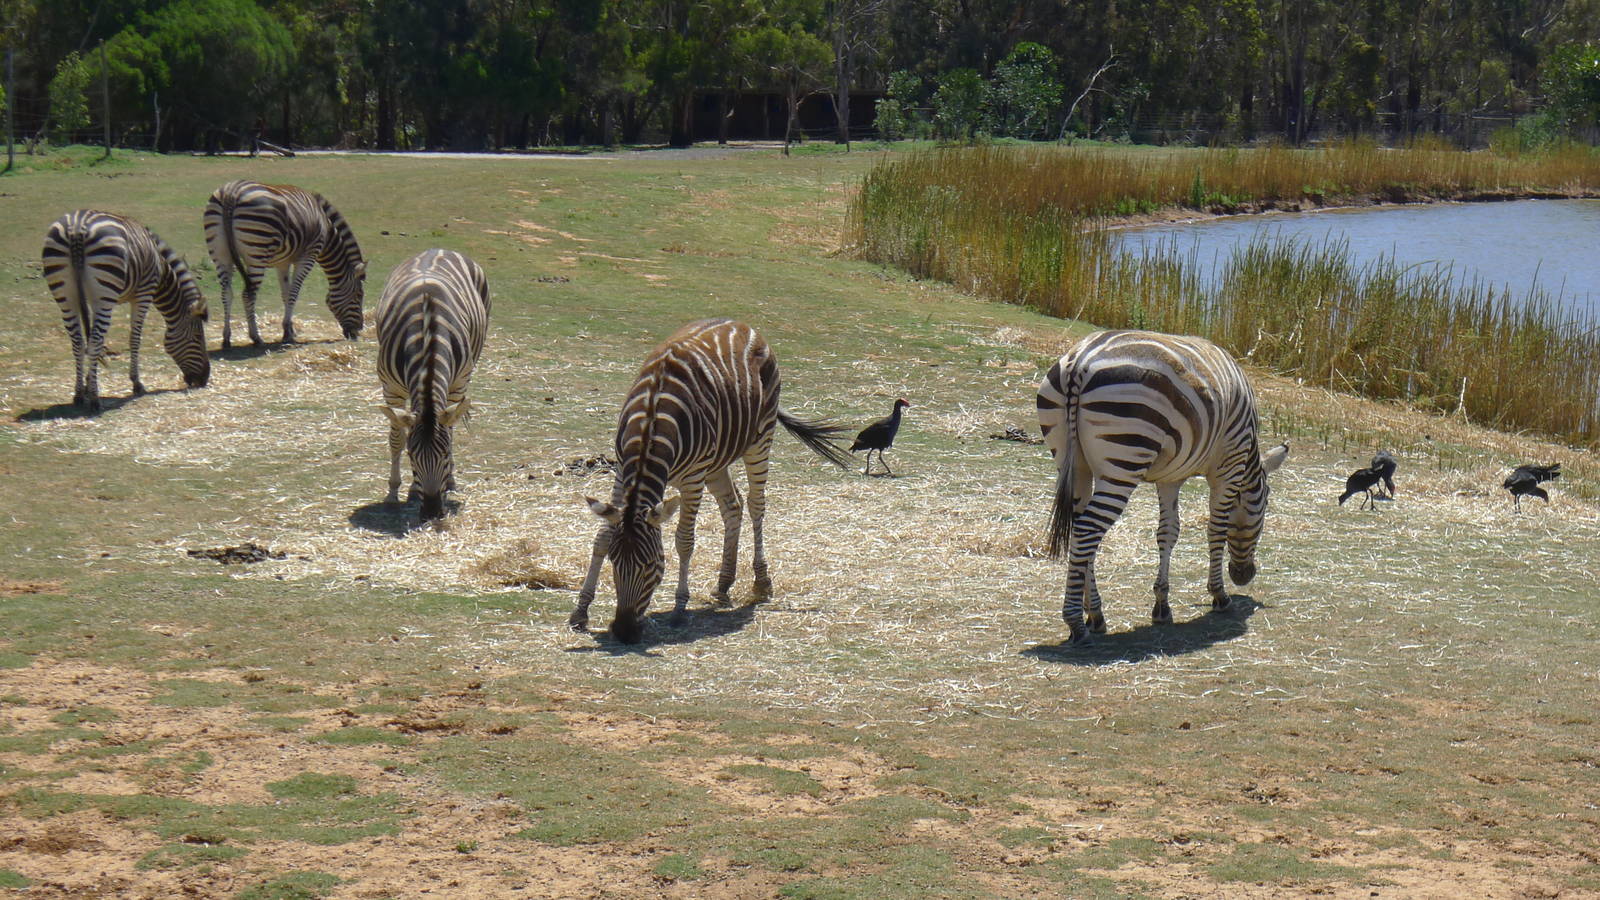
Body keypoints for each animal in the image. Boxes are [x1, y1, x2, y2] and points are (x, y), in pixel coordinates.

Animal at [41, 209, 211, 411]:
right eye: (197, 337)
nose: (205, 378)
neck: (160, 268)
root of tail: (77, 227)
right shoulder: (143, 294)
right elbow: (134, 339)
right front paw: (136, 383)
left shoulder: (92, 300)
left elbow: (92, 340)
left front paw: (89, 381)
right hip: (105, 291)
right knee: (95, 342)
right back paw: (95, 400)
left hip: (66, 295)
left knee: (78, 342)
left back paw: (79, 394)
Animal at [202, 180, 366, 348]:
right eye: (359, 295)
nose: (357, 331)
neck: (326, 230)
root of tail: (231, 192)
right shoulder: (308, 256)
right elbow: (294, 292)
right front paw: (287, 333)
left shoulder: (283, 262)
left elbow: (285, 294)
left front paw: (290, 329)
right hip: (257, 252)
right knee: (248, 294)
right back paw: (256, 337)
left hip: (220, 253)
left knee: (226, 293)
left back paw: (226, 338)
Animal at [374, 249, 491, 523]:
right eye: (411, 455)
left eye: (445, 455)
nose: (431, 512)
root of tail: (440, 249)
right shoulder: (390, 388)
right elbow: (396, 438)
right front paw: (394, 491)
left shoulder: (458, 383)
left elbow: (450, 431)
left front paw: (447, 483)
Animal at [569, 319, 854, 644]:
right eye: (614, 562)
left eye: (652, 565)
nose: (624, 632)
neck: (652, 425)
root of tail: (739, 323)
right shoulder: (621, 472)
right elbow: (602, 536)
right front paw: (581, 610)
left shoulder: (692, 480)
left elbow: (684, 541)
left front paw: (680, 608)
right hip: (716, 463)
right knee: (733, 505)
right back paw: (723, 584)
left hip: (760, 438)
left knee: (756, 505)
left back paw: (761, 582)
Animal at [1036, 330, 1289, 644]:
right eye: (1264, 505)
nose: (1244, 576)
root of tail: (1081, 360)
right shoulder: (1228, 468)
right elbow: (1216, 529)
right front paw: (1219, 595)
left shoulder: (1170, 478)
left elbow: (1168, 532)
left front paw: (1162, 605)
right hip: (1124, 457)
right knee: (1087, 529)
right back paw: (1075, 623)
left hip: (1073, 461)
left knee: (1079, 528)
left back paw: (1095, 614)